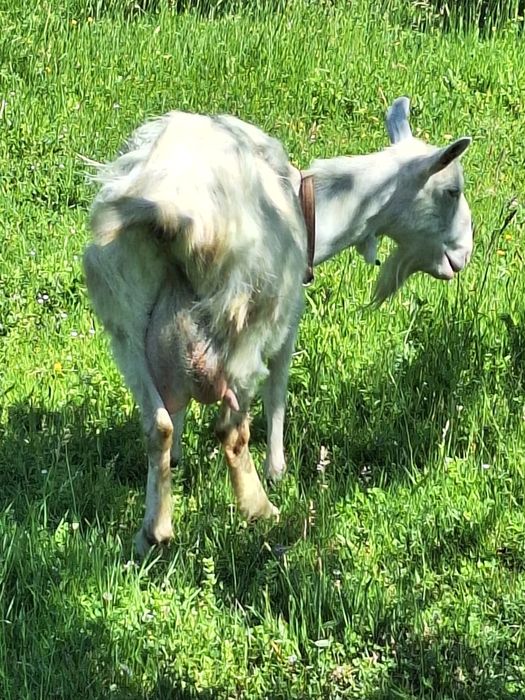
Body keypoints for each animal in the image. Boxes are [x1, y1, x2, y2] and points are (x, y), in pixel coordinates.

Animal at [83, 97, 472, 555]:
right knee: (231, 430)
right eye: (451, 190)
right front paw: (278, 469)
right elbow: (279, 391)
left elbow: (176, 414)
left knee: (156, 424)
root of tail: (170, 212)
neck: (312, 210)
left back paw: (154, 531)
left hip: (125, 322)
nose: (464, 254)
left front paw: (177, 463)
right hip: (244, 324)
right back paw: (260, 509)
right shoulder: (288, 318)